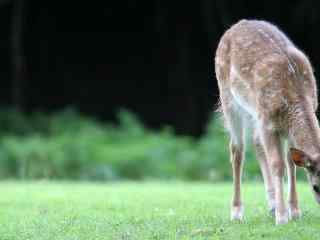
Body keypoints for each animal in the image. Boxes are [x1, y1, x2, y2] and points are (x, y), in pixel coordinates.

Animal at [214, 19, 320, 225]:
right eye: (315, 187)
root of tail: (236, 25)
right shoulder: (268, 123)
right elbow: (278, 164)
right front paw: (282, 217)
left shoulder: (283, 127)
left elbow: (291, 163)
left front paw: (294, 211)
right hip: (228, 97)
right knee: (237, 150)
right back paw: (237, 212)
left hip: (254, 112)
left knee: (256, 143)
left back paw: (271, 205)